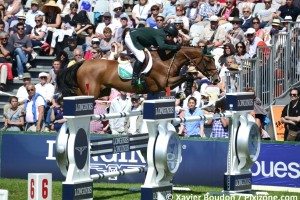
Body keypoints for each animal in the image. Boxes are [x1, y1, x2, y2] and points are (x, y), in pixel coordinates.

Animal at [56, 46, 218, 97]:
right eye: (208, 60)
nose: (216, 79)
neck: (167, 61)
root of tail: (83, 62)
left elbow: (188, 76)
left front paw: (188, 90)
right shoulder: (165, 83)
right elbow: (187, 76)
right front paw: (187, 90)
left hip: (101, 91)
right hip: (92, 91)